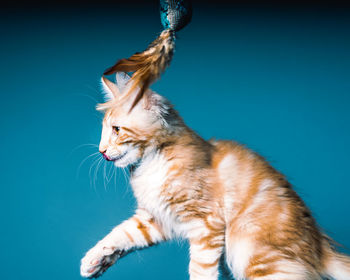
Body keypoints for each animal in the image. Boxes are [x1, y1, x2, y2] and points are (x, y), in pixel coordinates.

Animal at [80, 72, 350, 280]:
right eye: (105, 131)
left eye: (116, 130)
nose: (101, 151)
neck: (149, 166)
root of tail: (320, 248)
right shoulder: (155, 218)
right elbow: (121, 233)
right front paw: (94, 260)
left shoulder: (205, 223)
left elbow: (200, 269)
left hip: (254, 255)